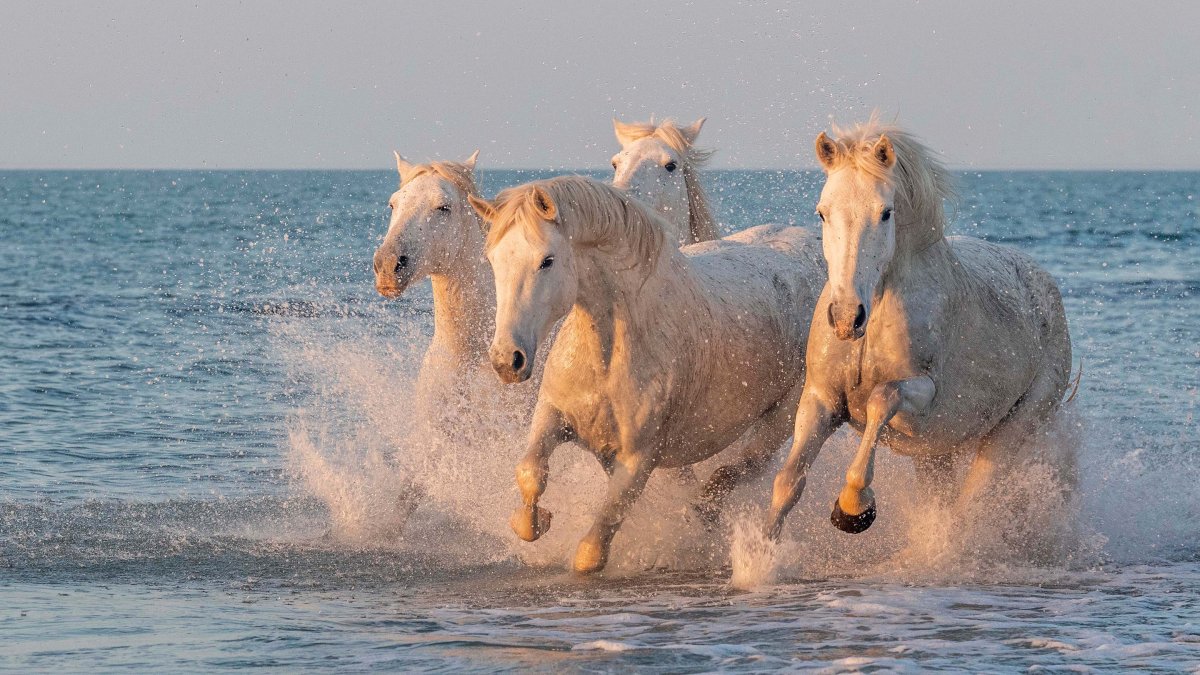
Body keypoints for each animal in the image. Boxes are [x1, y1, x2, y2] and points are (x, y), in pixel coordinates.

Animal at [469, 176, 825, 574]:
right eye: (493, 260)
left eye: (547, 260)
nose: (507, 360)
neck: (608, 357)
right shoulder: (554, 416)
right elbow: (530, 470)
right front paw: (533, 522)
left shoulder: (639, 458)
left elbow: (592, 550)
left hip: (784, 419)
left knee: (739, 470)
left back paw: (702, 520)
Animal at [764, 120, 1073, 542]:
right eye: (822, 213)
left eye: (885, 213)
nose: (846, 318)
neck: (876, 316)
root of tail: (1047, 287)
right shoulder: (821, 398)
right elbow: (788, 481)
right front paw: (756, 555)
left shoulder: (924, 392)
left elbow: (881, 399)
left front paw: (852, 508)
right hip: (936, 454)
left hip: (1013, 429)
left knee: (972, 505)